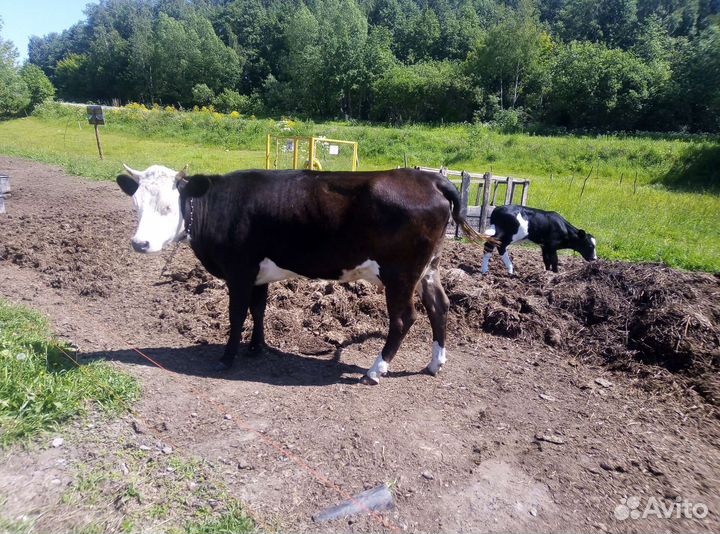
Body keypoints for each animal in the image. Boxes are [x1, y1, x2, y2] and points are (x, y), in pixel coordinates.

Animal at [116, 164, 491, 385]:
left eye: (168, 206)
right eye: (136, 206)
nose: (139, 243)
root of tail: (430, 177)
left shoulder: (239, 270)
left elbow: (237, 314)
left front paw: (227, 358)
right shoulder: (258, 273)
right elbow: (258, 309)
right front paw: (256, 348)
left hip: (400, 273)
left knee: (404, 319)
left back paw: (375, 370)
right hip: (429, 266)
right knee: (439, 306)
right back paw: (435, 363)